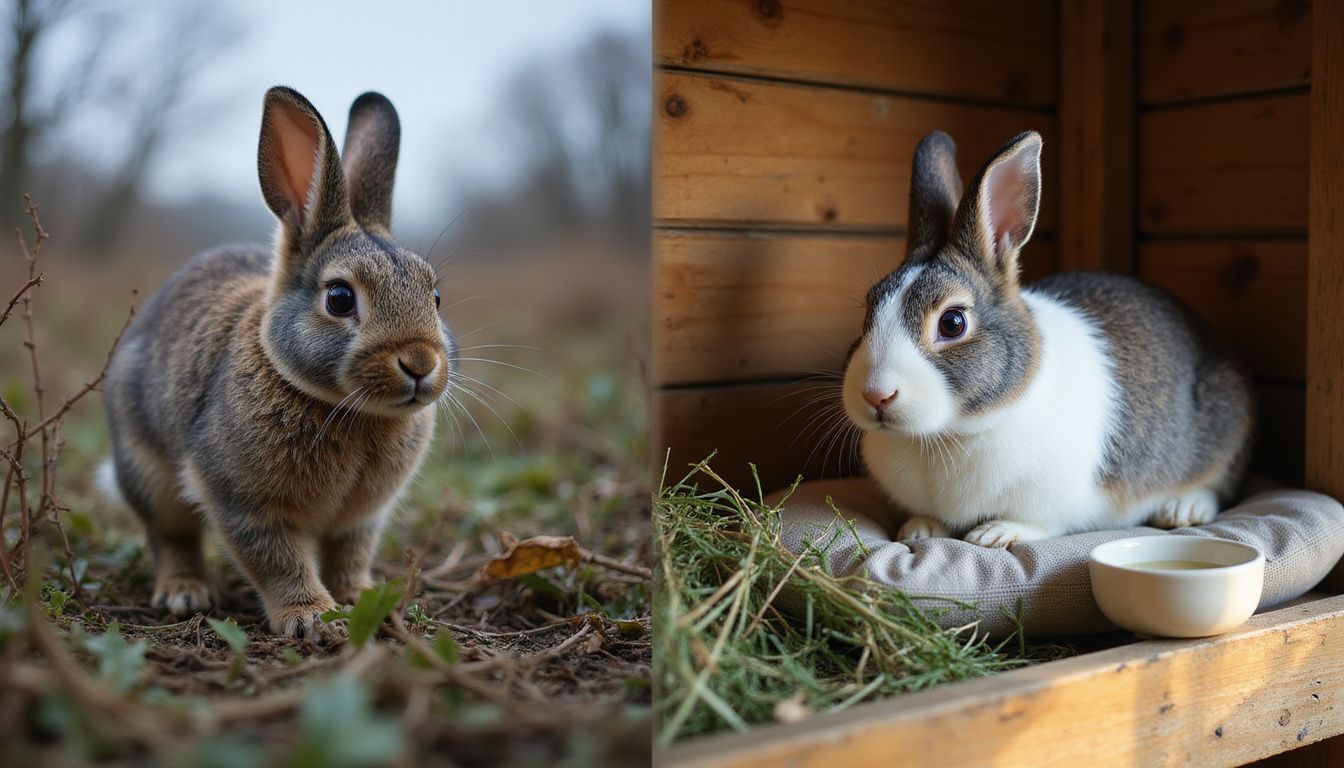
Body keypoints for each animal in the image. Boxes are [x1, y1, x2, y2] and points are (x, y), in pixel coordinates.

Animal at [100, 86, 455, 640]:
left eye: (434, 296)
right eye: (339, 298)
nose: (420, 363)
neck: (347, 409)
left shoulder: (361, 520)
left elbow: (349, 555)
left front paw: (361, 597)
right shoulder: (244, 504)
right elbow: (278, 561)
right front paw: (311, 617)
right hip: (148, 474)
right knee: (172, 536)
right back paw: (185, 592)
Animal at [841, 130, 1253, 548]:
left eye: (953, 323)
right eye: (868, 310)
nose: (876, 395)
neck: (948, 432)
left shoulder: (1059, 503)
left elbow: (1040, 523)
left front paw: (993, 534)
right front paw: (918, 529)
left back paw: (1183, 510)